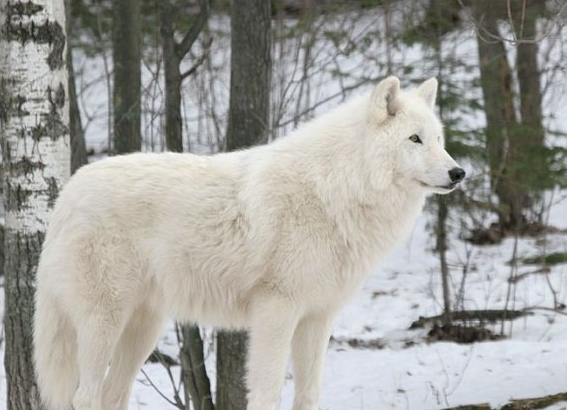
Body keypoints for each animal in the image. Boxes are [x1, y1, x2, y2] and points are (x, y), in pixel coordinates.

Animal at [32, 77, 466, 410]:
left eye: (439, 138)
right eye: (414, 139)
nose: (459, 172)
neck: (335, 188)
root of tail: (68, 191)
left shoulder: (318, 317)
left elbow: (308, 395)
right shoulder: (276, 310)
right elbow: (267, 392)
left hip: (143, 328)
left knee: (111, 394)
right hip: (104, 322)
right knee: (85, 397)